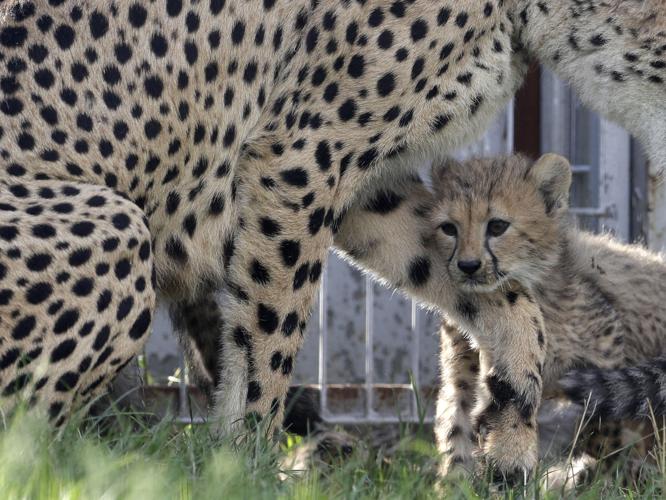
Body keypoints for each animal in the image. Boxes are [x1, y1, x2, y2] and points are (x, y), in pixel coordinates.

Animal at [0, 0, 664, 479]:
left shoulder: (360, 183)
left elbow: (500, 297)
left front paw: (510, 426)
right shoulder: (295, 160)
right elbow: (266, 346)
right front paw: (244, 470)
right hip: (116, 224)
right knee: (25, 444)